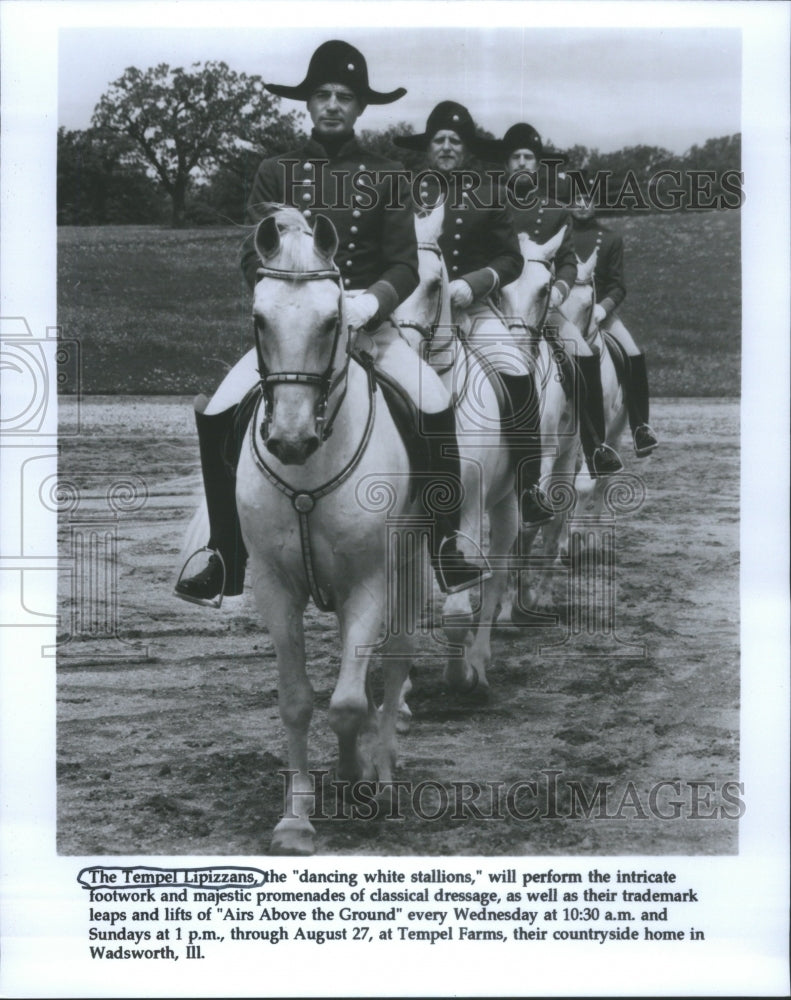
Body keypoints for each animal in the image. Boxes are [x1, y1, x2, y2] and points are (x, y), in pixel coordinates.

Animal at [235, 207, 420, 856]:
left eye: (334, 318)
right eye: (259, 319)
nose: (289, 440)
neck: (309, 471)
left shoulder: (371, 581)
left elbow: (345, 703)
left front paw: (355, 776)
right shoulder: (274, 585)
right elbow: (297, 701)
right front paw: (295, 819)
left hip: (411, 568)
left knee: (395, 660)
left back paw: (384, 770)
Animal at [392, 205, 516, 696]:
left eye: (434, 284)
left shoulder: (466, 507)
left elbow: (459, 612)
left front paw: (459, 674)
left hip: (506, 504)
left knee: (498, 573)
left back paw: (478, 662)